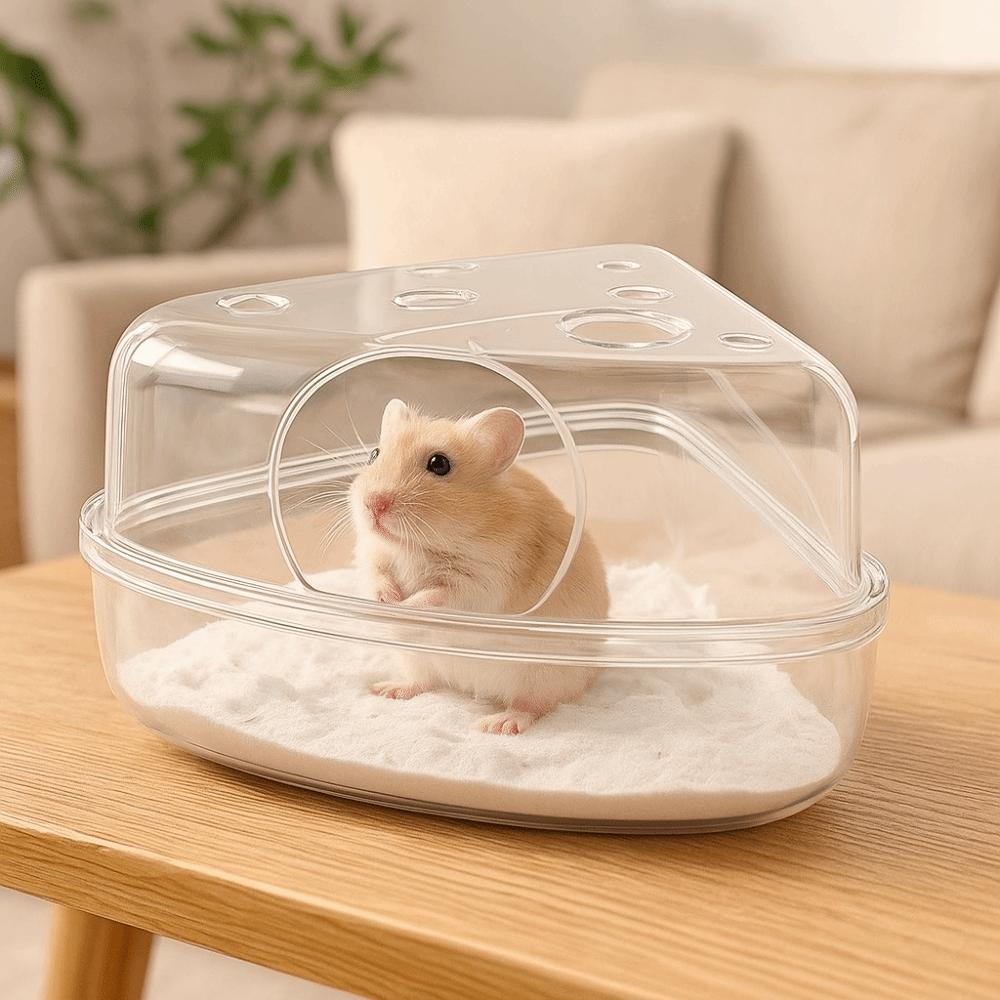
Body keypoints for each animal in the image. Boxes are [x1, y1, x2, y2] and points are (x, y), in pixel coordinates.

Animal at [349, 399, 609, 735]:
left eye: (439, 464)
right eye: (374, 454)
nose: (373, 504)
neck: (416, 545)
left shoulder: (482, 583)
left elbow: (436, 595)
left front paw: (401, 609)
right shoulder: (372, 554)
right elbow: (376, 578)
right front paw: (384, 604)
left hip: (543, 672)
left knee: (534, 707)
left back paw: (496, 724)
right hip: (414, 656)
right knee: (425, 680)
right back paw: (387, 690)